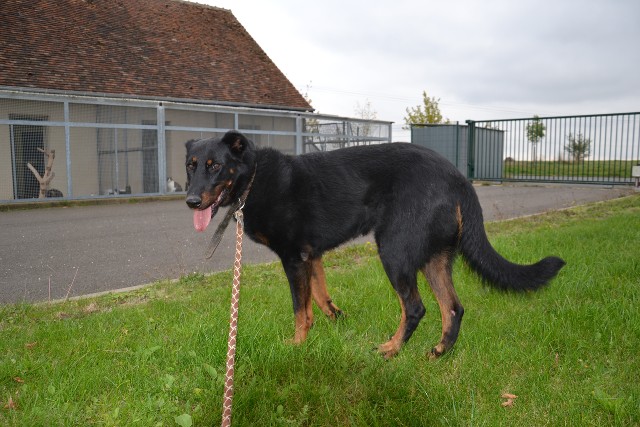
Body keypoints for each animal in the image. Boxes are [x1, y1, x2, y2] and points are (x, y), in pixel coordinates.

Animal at [186, 130, 564, 358]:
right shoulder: (312, 255)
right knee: (453, 308)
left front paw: (296, 345)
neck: (253, 178)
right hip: (433, 258)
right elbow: (320, 297)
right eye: (190, 166)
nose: (190, 201)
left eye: (215, 166)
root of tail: (458, 178)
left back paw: (392, 350)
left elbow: (300, 309)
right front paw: (336, 320)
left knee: (415, 308)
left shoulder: (294, 257)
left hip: (395, 251)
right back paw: (439, 352)